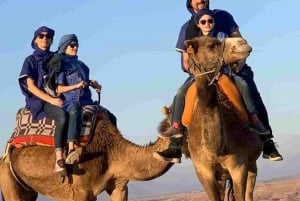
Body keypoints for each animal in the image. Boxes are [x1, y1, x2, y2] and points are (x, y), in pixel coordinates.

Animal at [182, 36, 262, 201]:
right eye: (212, 45)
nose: (242, 42)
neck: (215, 149)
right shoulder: (203, 172)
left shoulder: (239, 166)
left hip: (251, 164)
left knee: (249, 192)